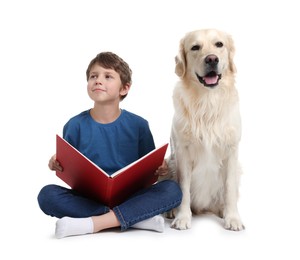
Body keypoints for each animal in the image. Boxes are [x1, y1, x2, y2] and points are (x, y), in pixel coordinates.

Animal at [162, 28, 244, 231]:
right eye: (195, 47)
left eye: (219, 44)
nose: (212, 59)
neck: (207, 101)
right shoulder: (182, 152)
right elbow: (183, 188)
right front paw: (182, 217)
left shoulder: (231, 152)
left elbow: (229, 189)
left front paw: (233, 218)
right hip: (168, 163)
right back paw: (171, 211)